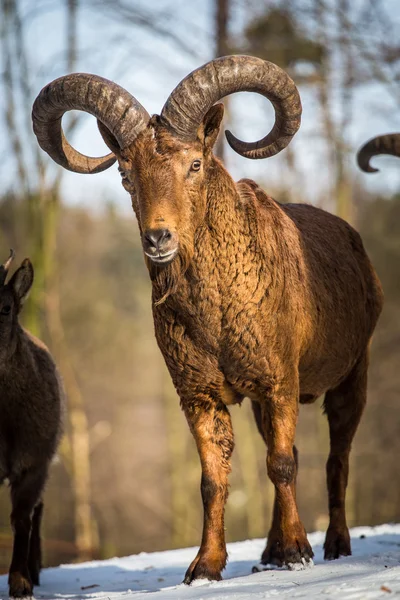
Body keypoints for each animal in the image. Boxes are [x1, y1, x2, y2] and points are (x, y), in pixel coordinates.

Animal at [32, 55, 382, 580]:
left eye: (194, 164)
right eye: (126, 174)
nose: (158, 238)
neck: (216, 315)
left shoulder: (280, 382)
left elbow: (282, 464)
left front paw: (298, 552)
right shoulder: (199, 393)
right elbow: (212, 479)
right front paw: (205, 565)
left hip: (351, 374)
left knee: (335, 458)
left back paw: (334, 544)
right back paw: (268, 551)